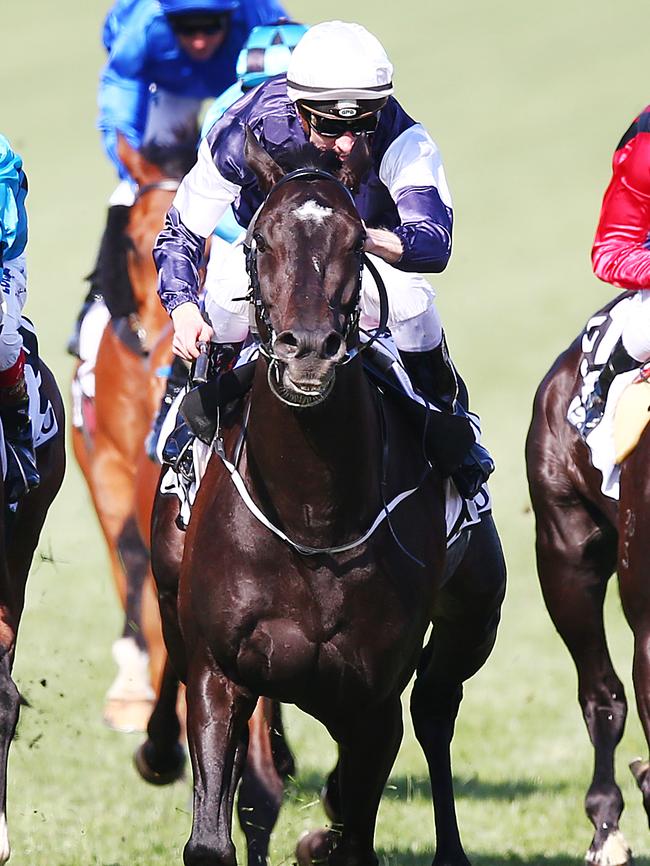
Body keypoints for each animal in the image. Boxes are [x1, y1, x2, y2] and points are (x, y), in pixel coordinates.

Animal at [143, 130, 506, 864]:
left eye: (356, 243)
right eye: (259, 242)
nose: (307, 349)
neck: (311, 517)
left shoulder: (372, 701)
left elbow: (358, 827)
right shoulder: (219, 673)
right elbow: (212, 836)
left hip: (473, 617)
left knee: (435, 713)